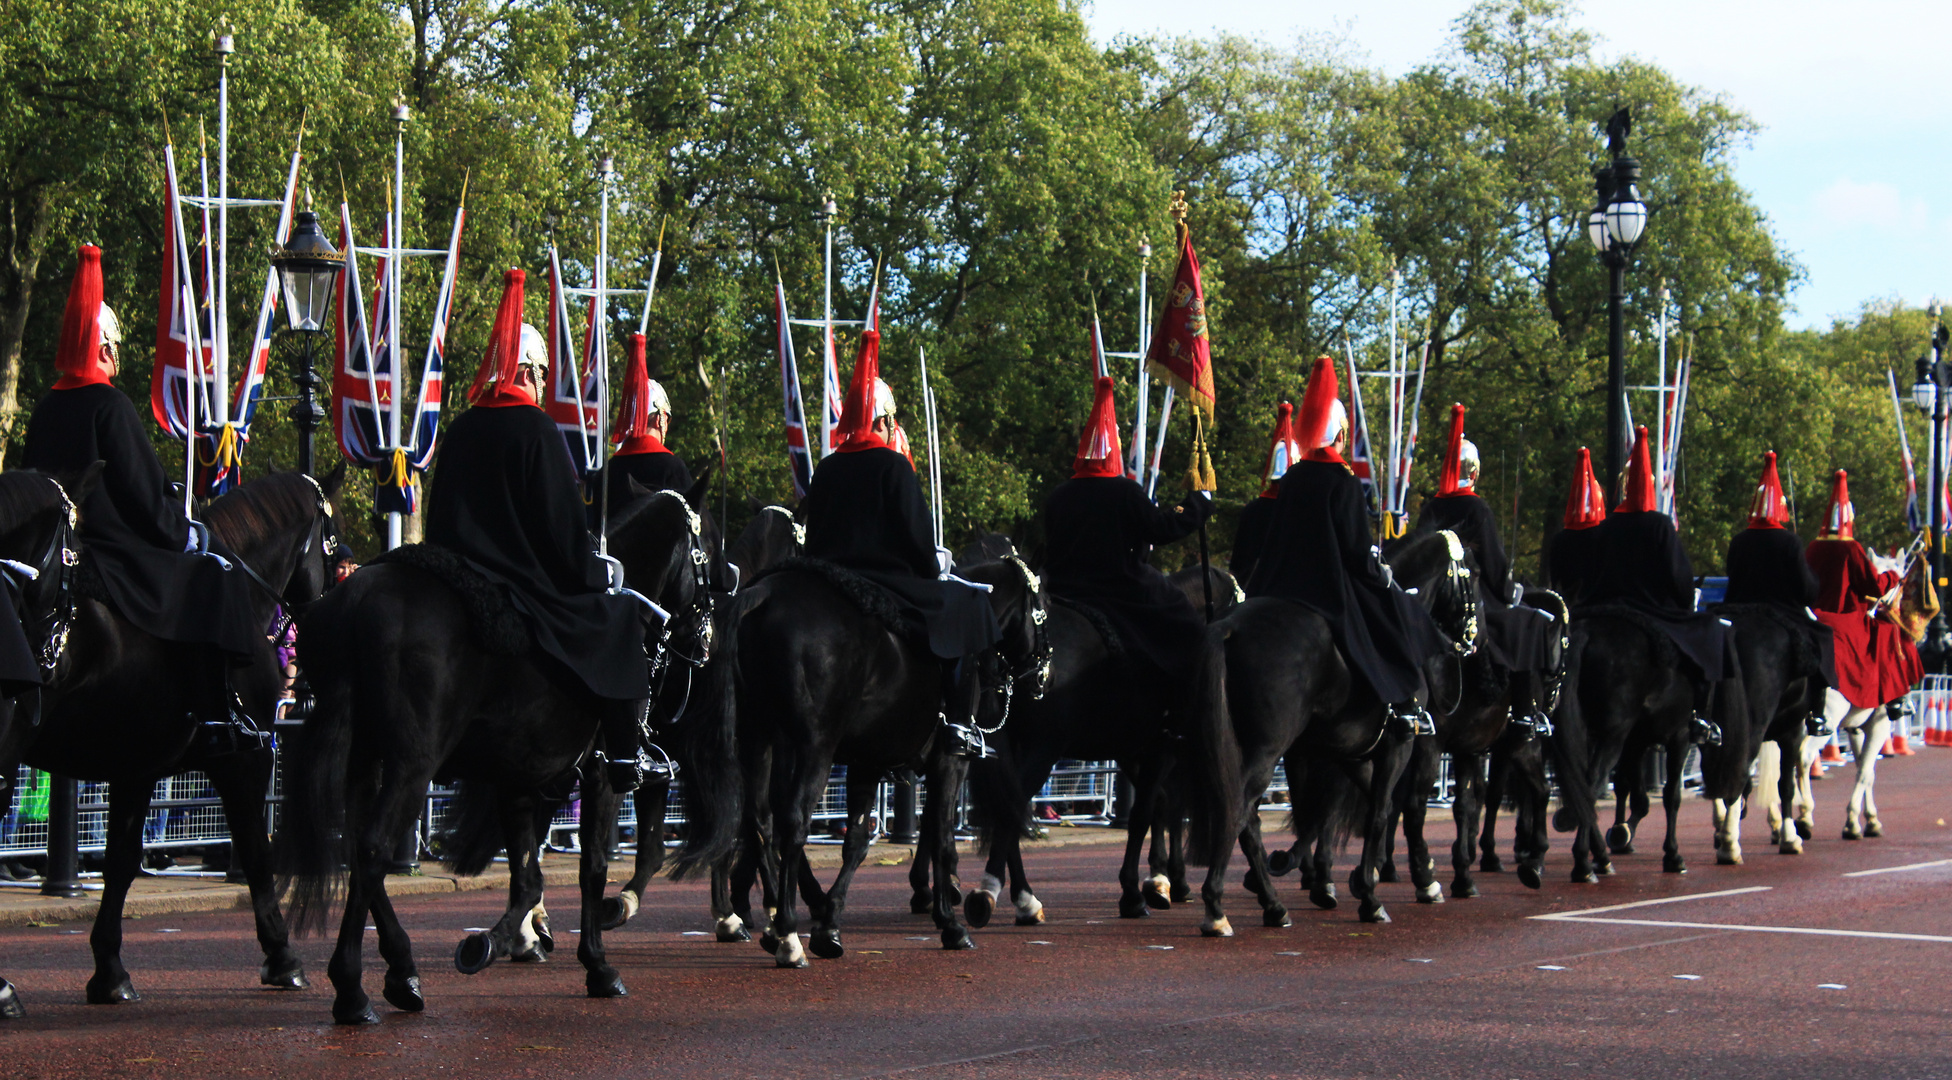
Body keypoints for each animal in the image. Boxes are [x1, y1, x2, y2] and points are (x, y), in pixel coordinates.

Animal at [26, 466, 341, 1007]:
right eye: (332, 544)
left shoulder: (136, 767)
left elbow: (121, 862)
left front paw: (109, 970)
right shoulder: (243, 760)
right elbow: (256, 854)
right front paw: (283, 957)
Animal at [279, 486, 730, 1015]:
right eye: (709, 548)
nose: (706, 642)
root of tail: (355, 600)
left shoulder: (517, 776)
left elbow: (526, 872)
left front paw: (504, 939)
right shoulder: (600, 774)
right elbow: (590, 867)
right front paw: (593, 963)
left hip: (365, 758)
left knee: (357, 847)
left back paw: (403, 971)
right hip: (412, 764)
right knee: (373, 849)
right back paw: (352, 988)